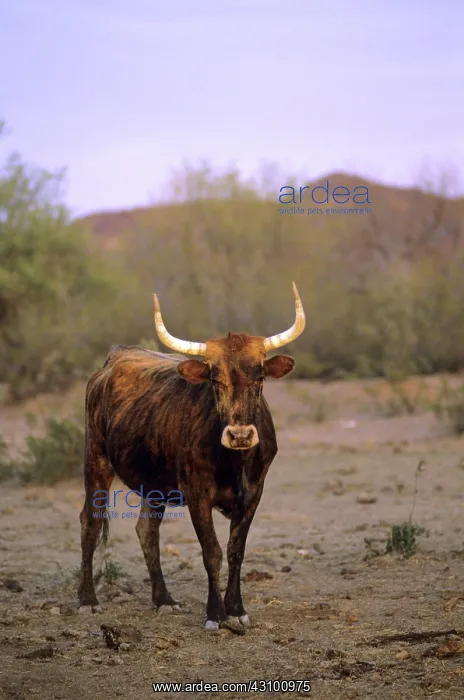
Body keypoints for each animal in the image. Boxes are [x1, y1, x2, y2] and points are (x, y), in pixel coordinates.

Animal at [78, 283, 305, 631]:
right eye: (215, 379)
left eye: (260, 377)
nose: (240, 435)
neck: (234, 462)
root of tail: (114, 357)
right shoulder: (197, 492)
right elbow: (211, 551)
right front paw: (215, 614)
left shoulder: (255, 492)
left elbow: (235, 550)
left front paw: (236, 609)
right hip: (96, 461)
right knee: (90, 522)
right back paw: (87, 600)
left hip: (154, 483)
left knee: (146, 531)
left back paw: (164, 600)